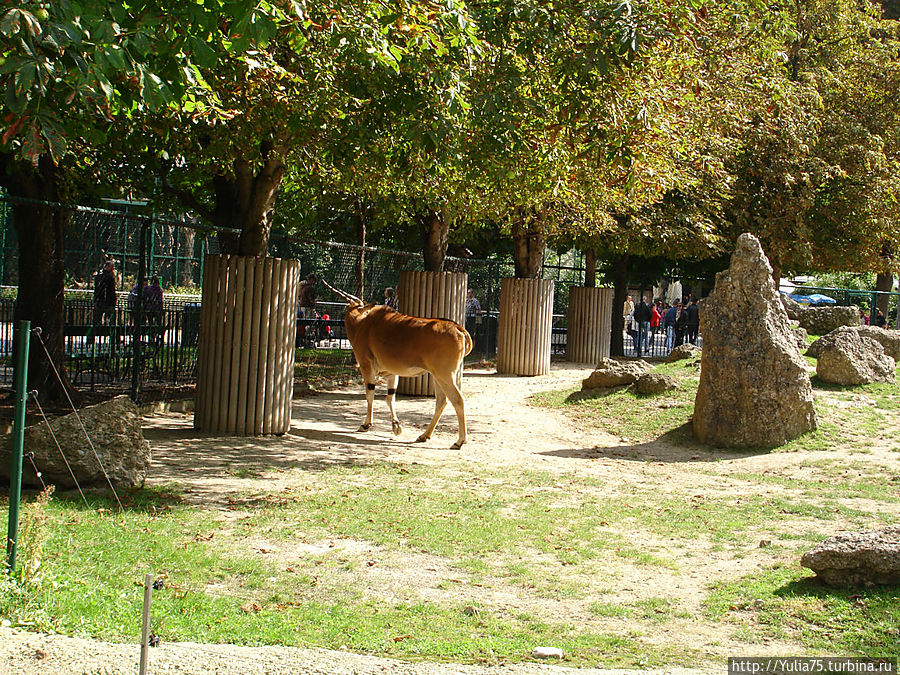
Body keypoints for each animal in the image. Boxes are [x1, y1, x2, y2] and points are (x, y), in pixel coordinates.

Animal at [326, 282, 478, 448]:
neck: (363, 324)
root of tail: (459, 329)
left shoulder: (367, 366)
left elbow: (370, 395)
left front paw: (366, 425)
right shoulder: (392, 373)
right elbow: (390, 398)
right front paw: (396, 426)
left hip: (444, 375)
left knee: (458, 400)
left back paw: (459, 441)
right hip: (438, 376)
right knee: (441, 401)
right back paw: (424, 435)